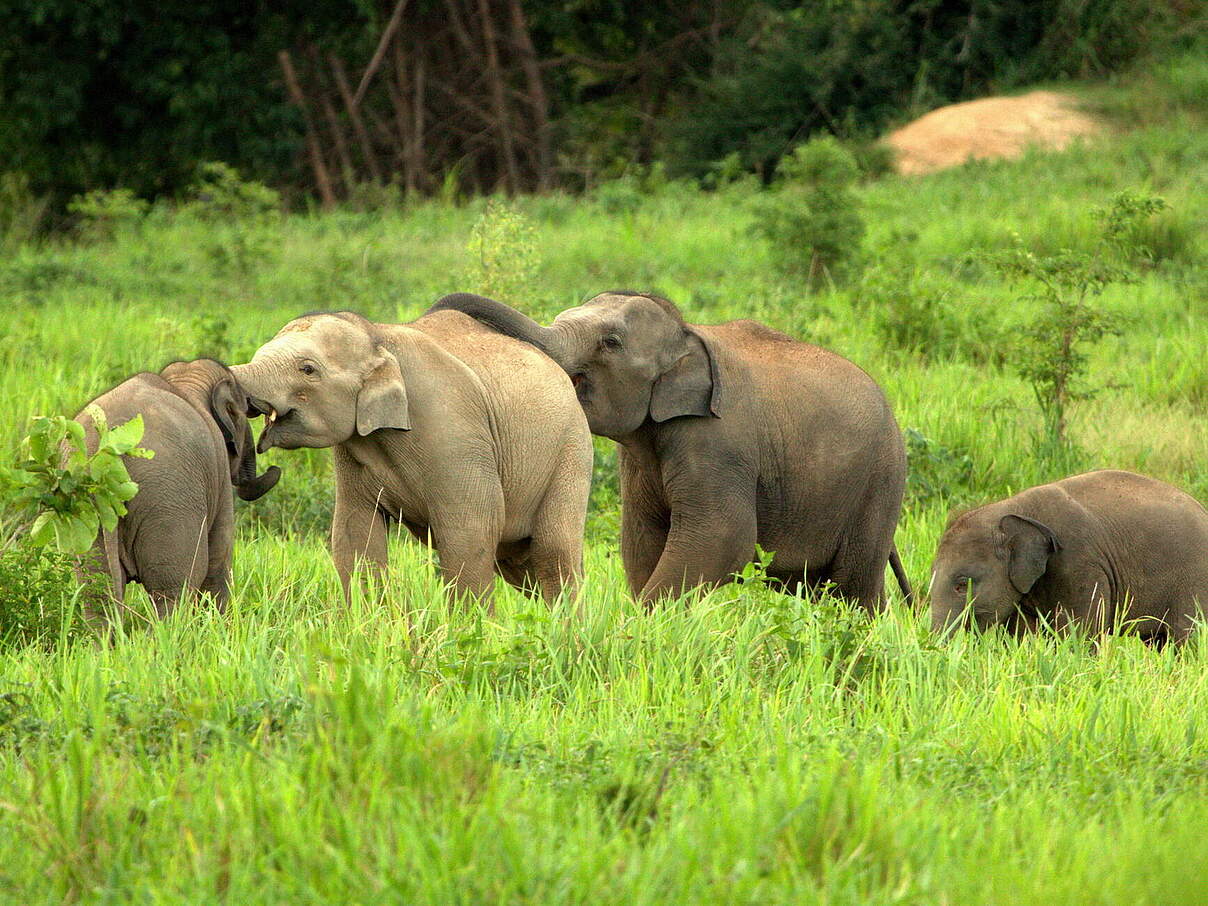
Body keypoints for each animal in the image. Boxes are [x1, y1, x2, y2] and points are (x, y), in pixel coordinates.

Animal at [75, 357, 280, 623]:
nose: (274, 466)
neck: (185, 384)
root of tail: (107, 449)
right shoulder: (220, 477)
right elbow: (218, 558)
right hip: (167, 497)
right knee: (173, 589)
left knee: (97, 591)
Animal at [229, 309, 589, 606]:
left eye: (307, 369)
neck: (378, 337)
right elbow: (355, 533)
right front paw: (366, 624)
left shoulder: (452, 429)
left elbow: (472, 529)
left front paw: (470, 631)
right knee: (519, 563)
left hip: (571, 451)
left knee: (553, 553)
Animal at [430, 288, 908, 611]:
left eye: (611, 342)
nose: (438, 310)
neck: (687, 334)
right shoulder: (641, 457)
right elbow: (642, 540)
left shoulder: (717, 442)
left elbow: (722, 538)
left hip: (880, 484)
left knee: (853, 588)